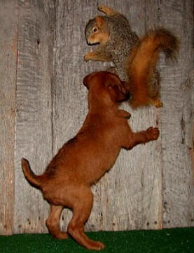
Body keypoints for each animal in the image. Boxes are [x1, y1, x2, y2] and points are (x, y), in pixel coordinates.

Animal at [22, 71, 160, 251]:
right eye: (120, 83)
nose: (126, 82)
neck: (100, 109)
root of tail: (44, 179)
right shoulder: (129, 139)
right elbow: (141, 136)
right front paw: (151, 133)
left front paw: (125, 113)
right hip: (85, 199)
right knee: (73, 227)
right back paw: (92, 245)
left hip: (58, 203)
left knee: (51, 221)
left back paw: (61, 236)